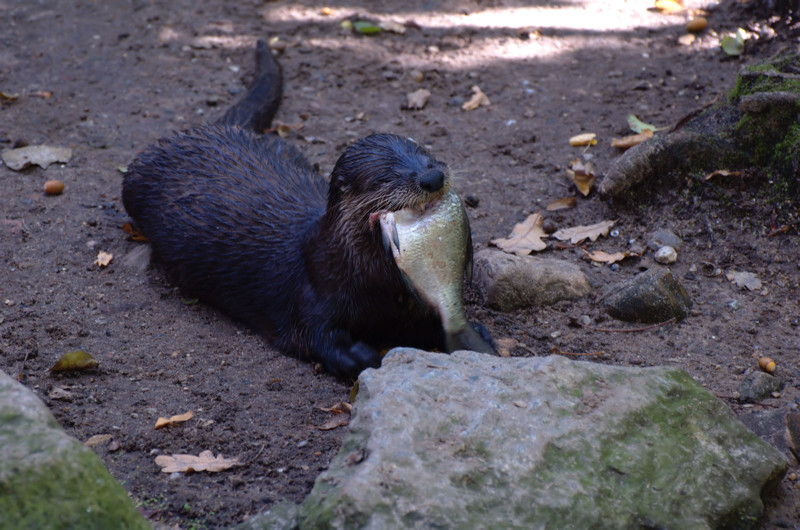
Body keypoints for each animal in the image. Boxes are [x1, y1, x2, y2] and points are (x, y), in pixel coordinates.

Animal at [122, 43, 494, 378]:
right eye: (386, 176)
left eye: (426, 155)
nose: (433, 177)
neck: (362, 278)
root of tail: (210, 129)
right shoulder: (310, 293)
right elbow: (310, 336)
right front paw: (355, 354)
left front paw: (476, 333)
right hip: (133, 179)